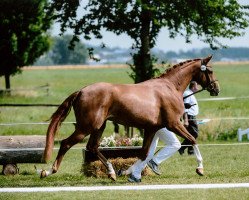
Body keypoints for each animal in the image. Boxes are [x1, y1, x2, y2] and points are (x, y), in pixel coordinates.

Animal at [39, 55, 220, 180]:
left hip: (99, 126)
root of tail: (81, 91)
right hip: (86, 127)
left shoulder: (152, 128)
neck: (170, 87)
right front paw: (200, 169)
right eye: (210, 71)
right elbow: (192, 139)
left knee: (92, 147)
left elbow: (144, 153)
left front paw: (128, 172)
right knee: (66, 144)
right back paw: (48, 171)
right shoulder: (173, 124)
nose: (216, 89)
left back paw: (112, 172)